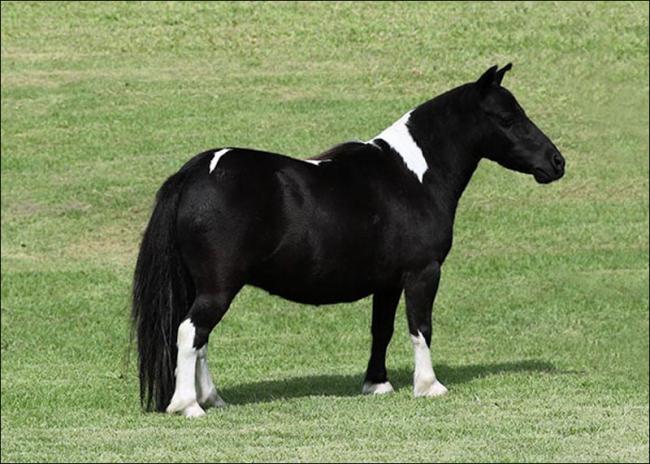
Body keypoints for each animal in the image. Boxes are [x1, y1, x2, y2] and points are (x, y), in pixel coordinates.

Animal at [132, 63, 566, 417]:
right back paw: (188, 406)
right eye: (506, 118)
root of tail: (193, 172)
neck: (411, 176)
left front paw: (378, 384)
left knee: (201, 338)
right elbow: (421, 327)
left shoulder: (388, 282)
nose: (556, 162)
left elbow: (382, 330)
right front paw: (429, 386)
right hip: (218, 287)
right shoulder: (422, 273)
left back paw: (214, 399)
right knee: (190, 332)